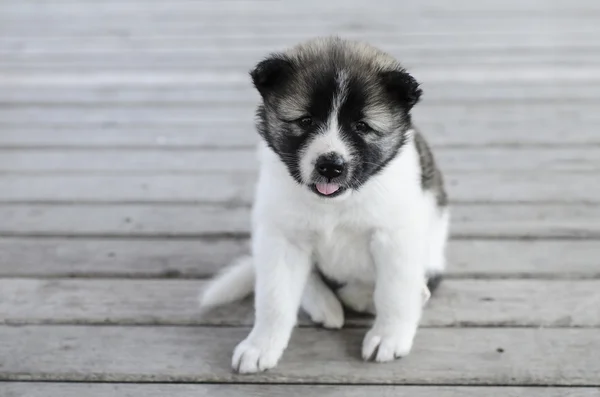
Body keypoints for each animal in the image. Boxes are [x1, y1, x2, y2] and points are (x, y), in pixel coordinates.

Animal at [199, 35, 448, 372]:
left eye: (361, 126)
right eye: (305, 121)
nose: (331, 166)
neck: (334, 205)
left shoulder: (395, 237)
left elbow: (394, 292)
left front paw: (388, 336)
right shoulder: (281, 236)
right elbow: (275, 298)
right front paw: (261, 345)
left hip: (432, 252)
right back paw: (324, 304)